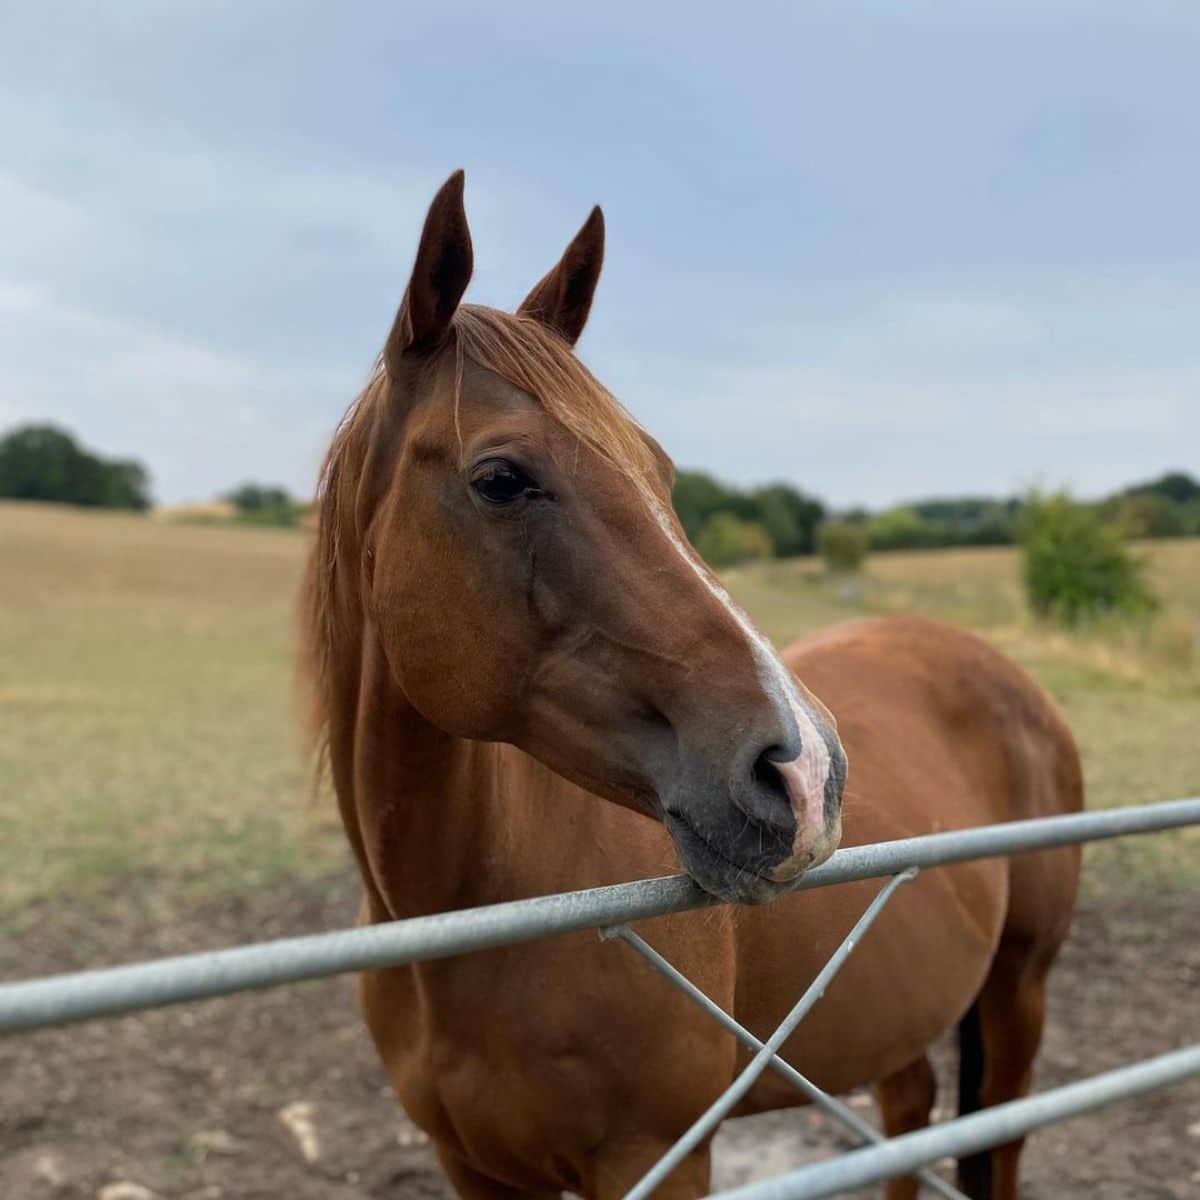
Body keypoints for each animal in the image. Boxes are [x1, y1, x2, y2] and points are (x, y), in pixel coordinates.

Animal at [304, 171, 1084, 1200]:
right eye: (501, 479)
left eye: (661, 469)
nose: (805, 773)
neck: (473, 927)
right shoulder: (470, 1166)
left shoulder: (660, 1156)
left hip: (1020, 991)